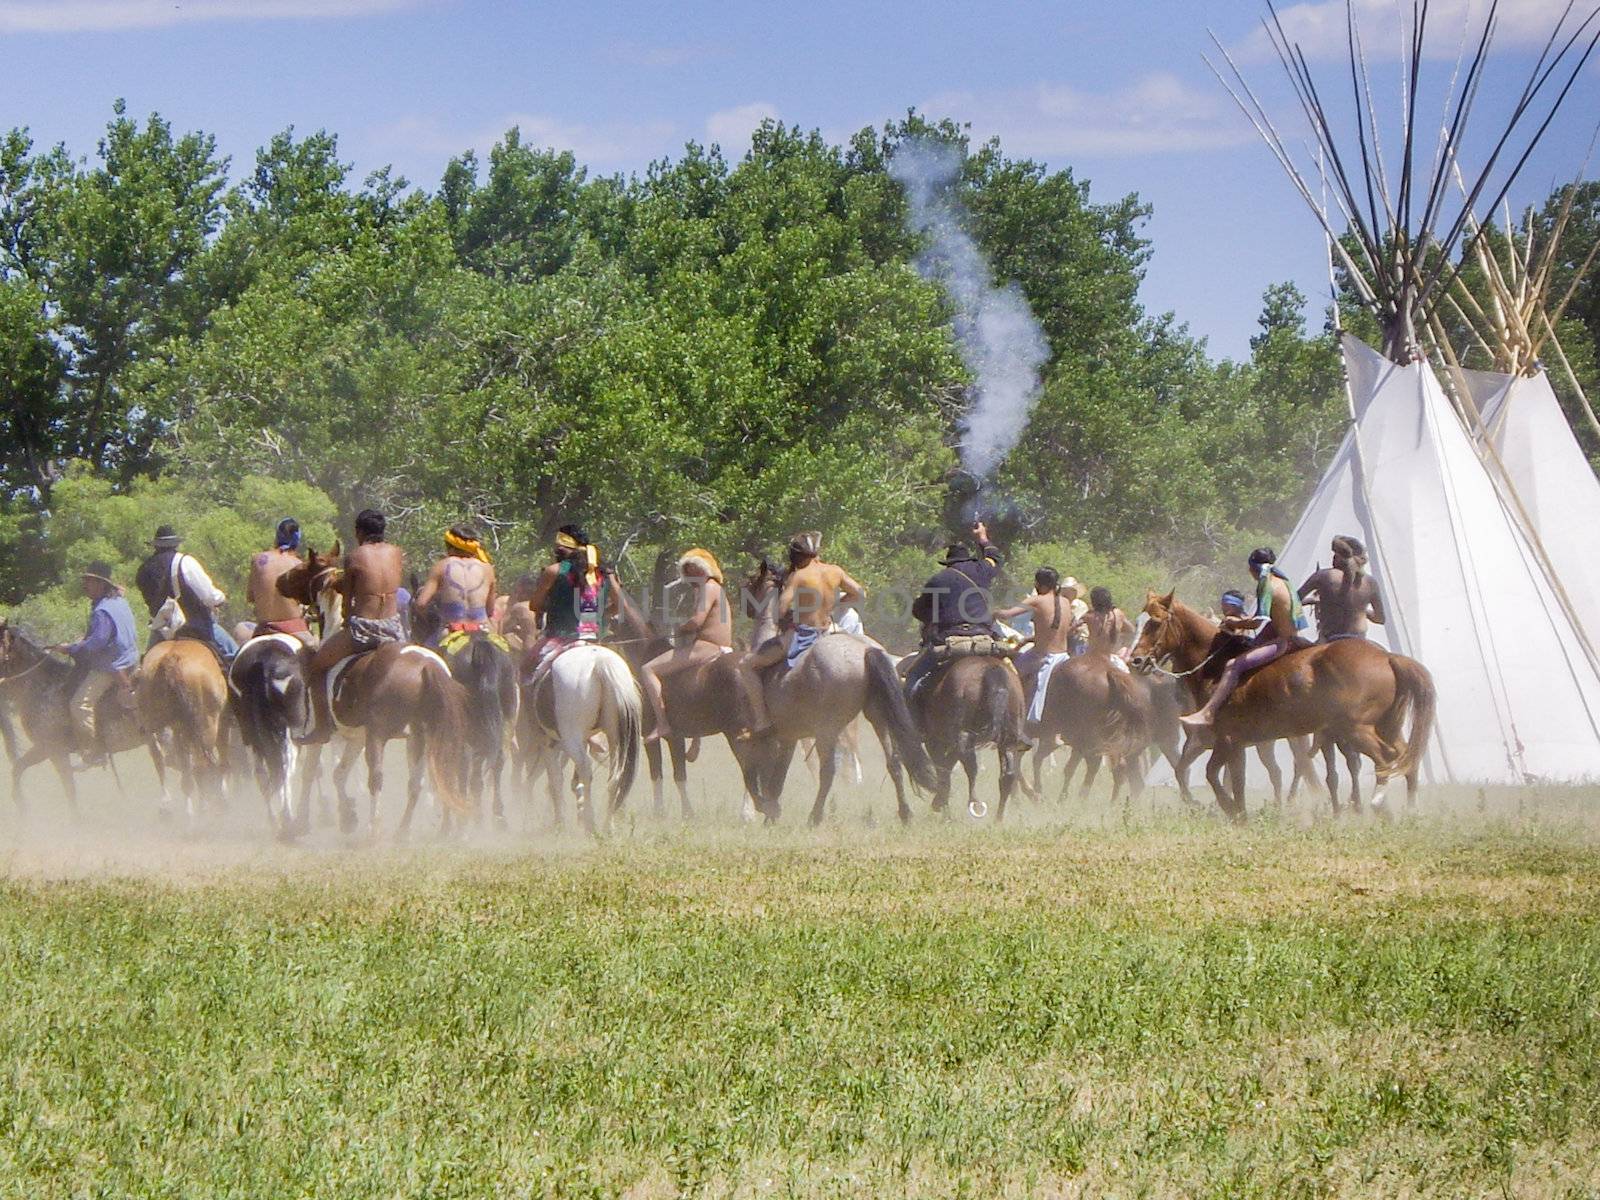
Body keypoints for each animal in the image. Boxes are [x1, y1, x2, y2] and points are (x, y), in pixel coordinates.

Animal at [280, 553, 473, 838]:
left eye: (303, 568)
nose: (280, 581)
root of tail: (426, 666)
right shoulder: (355, 737)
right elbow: (339, 774)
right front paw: (347, 816)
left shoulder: (327, 735)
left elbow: (311, 772)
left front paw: (302, 822)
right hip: (423, 736)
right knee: (421, 781)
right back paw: (406, 831)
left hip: (380, 735)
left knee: (377, 777)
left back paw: (374, 830)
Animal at [524, 649, 649, 838]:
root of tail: (600, 663)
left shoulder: (551, 744)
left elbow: (555, 780)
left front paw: (560, 823)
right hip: (614, 737)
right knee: (614, 777)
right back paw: (607, 826)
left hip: (572, 738)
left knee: (585, 771)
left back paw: (590, 824)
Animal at [739, 563, 934, 825]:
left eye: (752, 581)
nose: (747, 606)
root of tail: (865, 650)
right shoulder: (790, 736)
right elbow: (778, 777)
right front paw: (771, 813)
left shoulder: (774, 738)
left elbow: (764, 776)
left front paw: (765, 810)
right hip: (878, 717)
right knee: (894, 762)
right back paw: (905, 813)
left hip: (827, 729)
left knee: (828, 771)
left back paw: (815, 816)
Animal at [908, 652, 1030, 825]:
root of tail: (992, 670)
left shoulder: (936, 741)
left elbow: (943, 769)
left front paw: (942, 807)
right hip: (1008, 739)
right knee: (1007, 775)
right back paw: (998, 819)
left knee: (969, 764)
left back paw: (974, 804)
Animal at [1126, 595, 1440, 825]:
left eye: (1154, 623)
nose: (1136, 661)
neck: (1216, 665)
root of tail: (1386, 657)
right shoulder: (1235, 743)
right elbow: (1232, 780)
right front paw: (1239, 814)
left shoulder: (1225, 740)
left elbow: (1213, 774)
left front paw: (1228, 809)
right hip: (1385, 727)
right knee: (1406, 758)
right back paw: (1410, 810)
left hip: (1355, 730)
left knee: (1386, 758)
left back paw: (1378, 803)